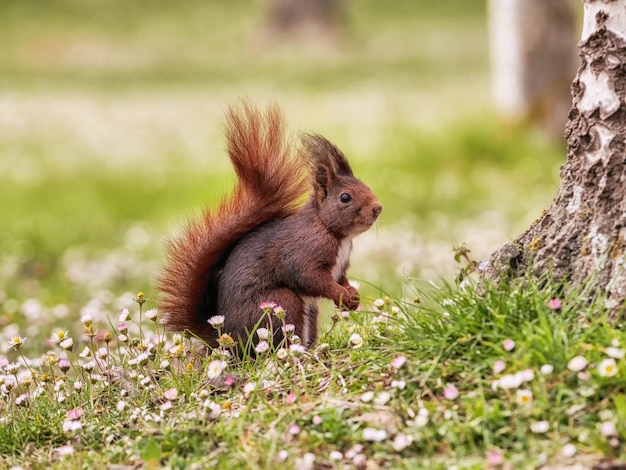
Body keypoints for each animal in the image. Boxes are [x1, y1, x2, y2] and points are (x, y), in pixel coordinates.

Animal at [156, 102, 380, 352]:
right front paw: (342, 295)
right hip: (281, 303)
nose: (377, 208)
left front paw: (352, 295)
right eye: (345, 197)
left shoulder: (340, 266)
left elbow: (341, 278)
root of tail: (226, 338)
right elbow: (311, 278)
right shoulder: (303, 252)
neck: (334, 233)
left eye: (366, 186)